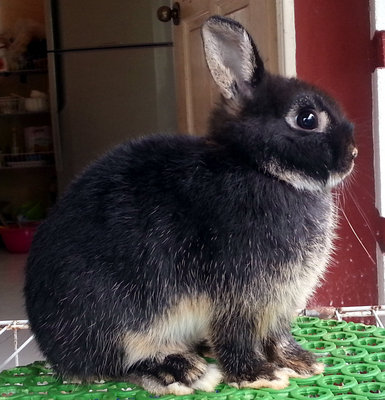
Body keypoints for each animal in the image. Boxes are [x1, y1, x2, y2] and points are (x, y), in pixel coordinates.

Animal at [24, 14, 356, 394]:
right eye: (306, 119)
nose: (353, 154)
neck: (259, 168)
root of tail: (51, 348)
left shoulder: (280, 300)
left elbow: (276, 336)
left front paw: (302, 362)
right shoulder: (240, 294)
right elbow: (237, 336)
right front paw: (259, 375)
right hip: (116, 313)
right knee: (119, 361)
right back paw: (183, 370)